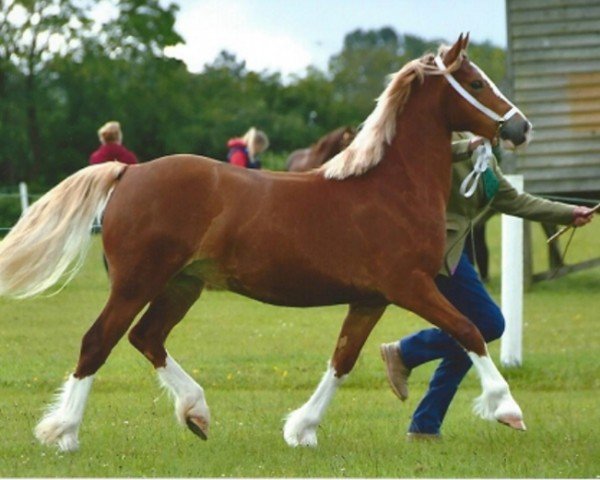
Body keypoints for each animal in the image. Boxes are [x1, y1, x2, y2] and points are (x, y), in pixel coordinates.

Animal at [0, 35, 532, 452]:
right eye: (477, 83)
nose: (520, 127)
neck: (390, 187)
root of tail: (128, 172)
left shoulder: (371, 299)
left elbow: (342, 360)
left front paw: (302, 428)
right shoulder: (410, 285)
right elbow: (468, 330)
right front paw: (507, 408)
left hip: (181, 285)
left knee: (146, 337)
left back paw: (195, 411)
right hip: (137, 283)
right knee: (98, 341)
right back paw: (65, 432)